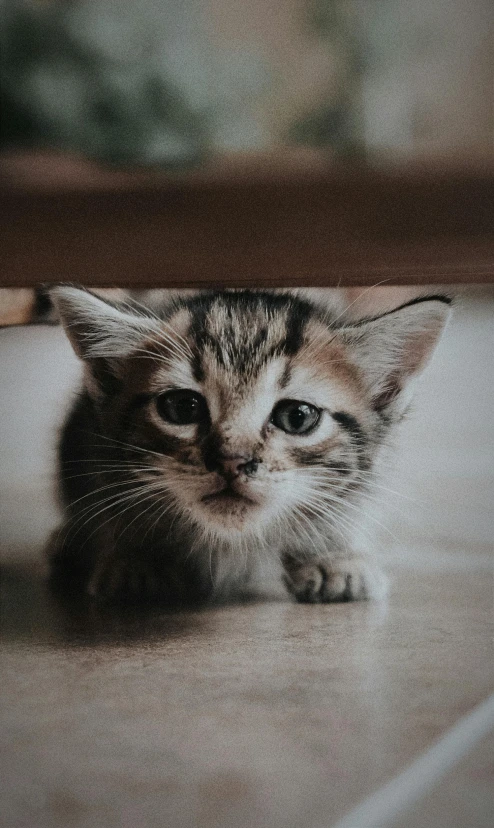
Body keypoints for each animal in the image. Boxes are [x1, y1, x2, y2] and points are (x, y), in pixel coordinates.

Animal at [49, 288, 452, 604]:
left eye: (297, 417)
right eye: (182, 407)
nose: (231, 460)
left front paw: (333, 555)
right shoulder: (93, 444)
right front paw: (137, 556)